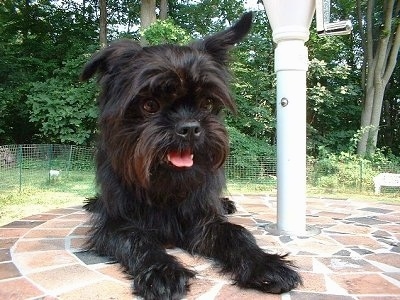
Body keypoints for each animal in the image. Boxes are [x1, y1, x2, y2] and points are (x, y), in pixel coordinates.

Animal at [80, 12, 300, 298]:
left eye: (206, 103)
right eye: (149, 105)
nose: (190, 127)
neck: (166, 187)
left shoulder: (203, 219)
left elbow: (238, 234)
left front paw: (264, 263)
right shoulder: (115, 224)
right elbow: (137, 238)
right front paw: (163, 270)